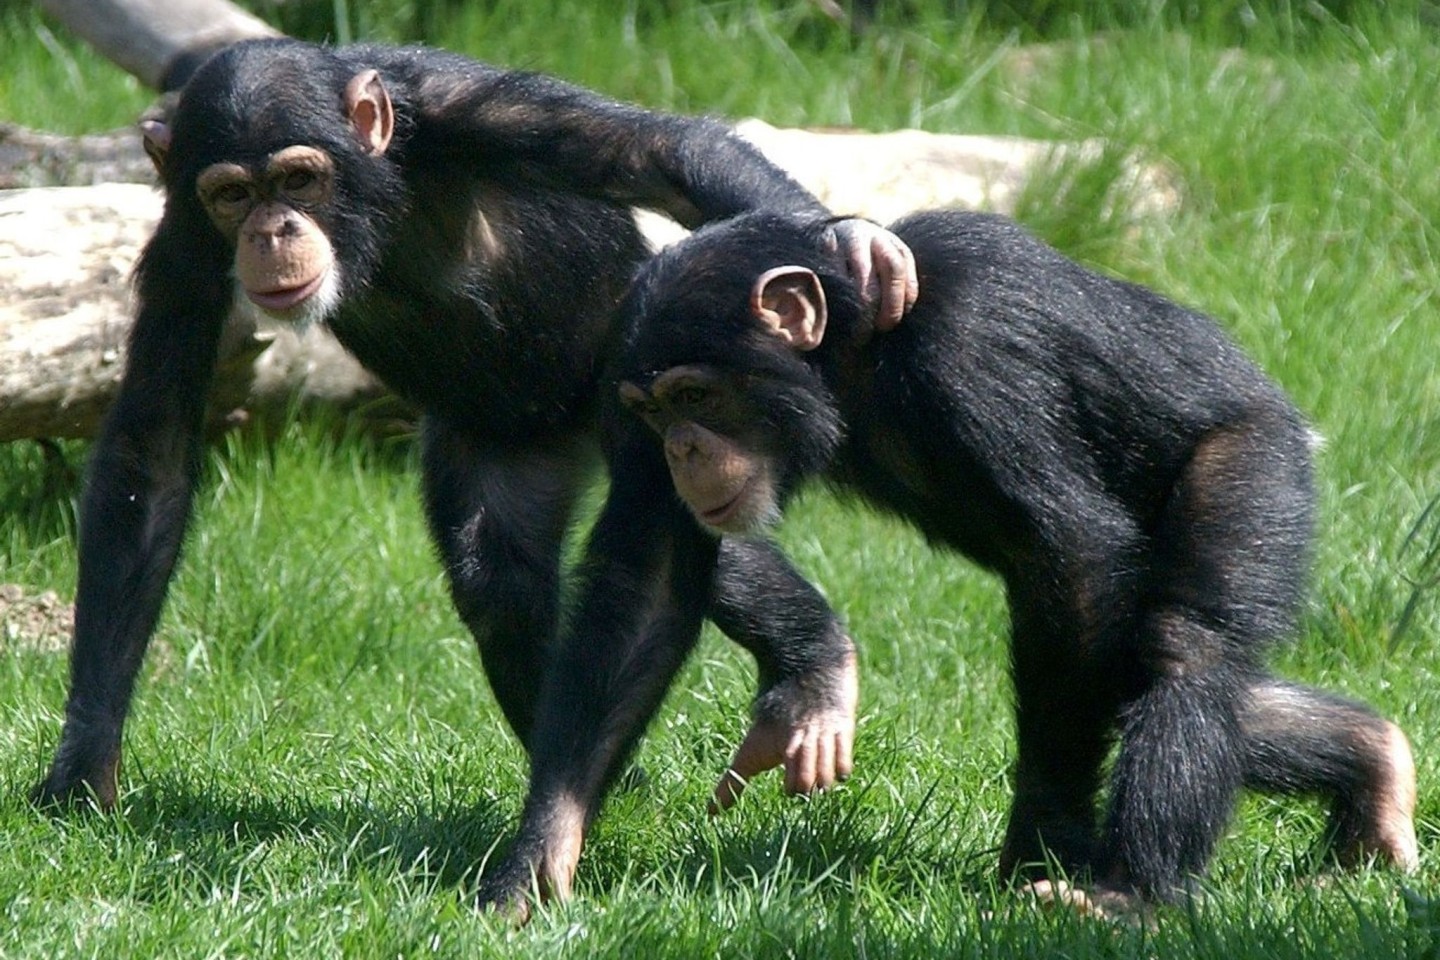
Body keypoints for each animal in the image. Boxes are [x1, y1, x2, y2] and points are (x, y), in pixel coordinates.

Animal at [30, 37, 921, 817]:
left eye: (299, 178)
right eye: (232, 195)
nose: (271, 230)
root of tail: (567, 420)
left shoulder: (465, 109)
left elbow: (653, 152)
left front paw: (857, 247)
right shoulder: (184, 235)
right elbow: (152, 446)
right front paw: (85, 767)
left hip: (663, 397)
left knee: (701, 526)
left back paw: (810, 665)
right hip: (505, 438)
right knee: (498, 575)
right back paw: (614, 782)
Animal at [480, 210, 1416, 915]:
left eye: (696, 394)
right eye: (652, 408)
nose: (679, 447)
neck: (855, 357)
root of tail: (1291, 416)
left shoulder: (969, 353)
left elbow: (1071, 549)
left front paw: (1043, 843)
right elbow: (648, 589)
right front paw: (540, 858)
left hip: (1257, 463)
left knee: (1185, 648)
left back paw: (1132, 899)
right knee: (1154, 675)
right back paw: (1374, 765)